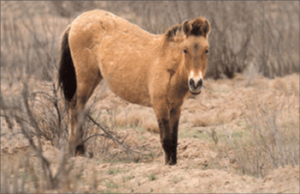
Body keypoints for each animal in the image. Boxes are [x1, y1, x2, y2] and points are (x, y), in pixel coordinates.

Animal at [57, 9, 210, 165]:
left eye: (206, 50)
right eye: (185, 50)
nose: (195, 83)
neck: (169, 65)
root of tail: (75, 22)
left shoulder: (175, 108)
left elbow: (174, 140)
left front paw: (172, 164)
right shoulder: (160, 107)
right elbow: (166, 140)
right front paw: (167, 165)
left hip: (94, 79)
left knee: (75, 106)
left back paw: (74, 150)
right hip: (86, 79)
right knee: (77, 108)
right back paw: (79, 151)